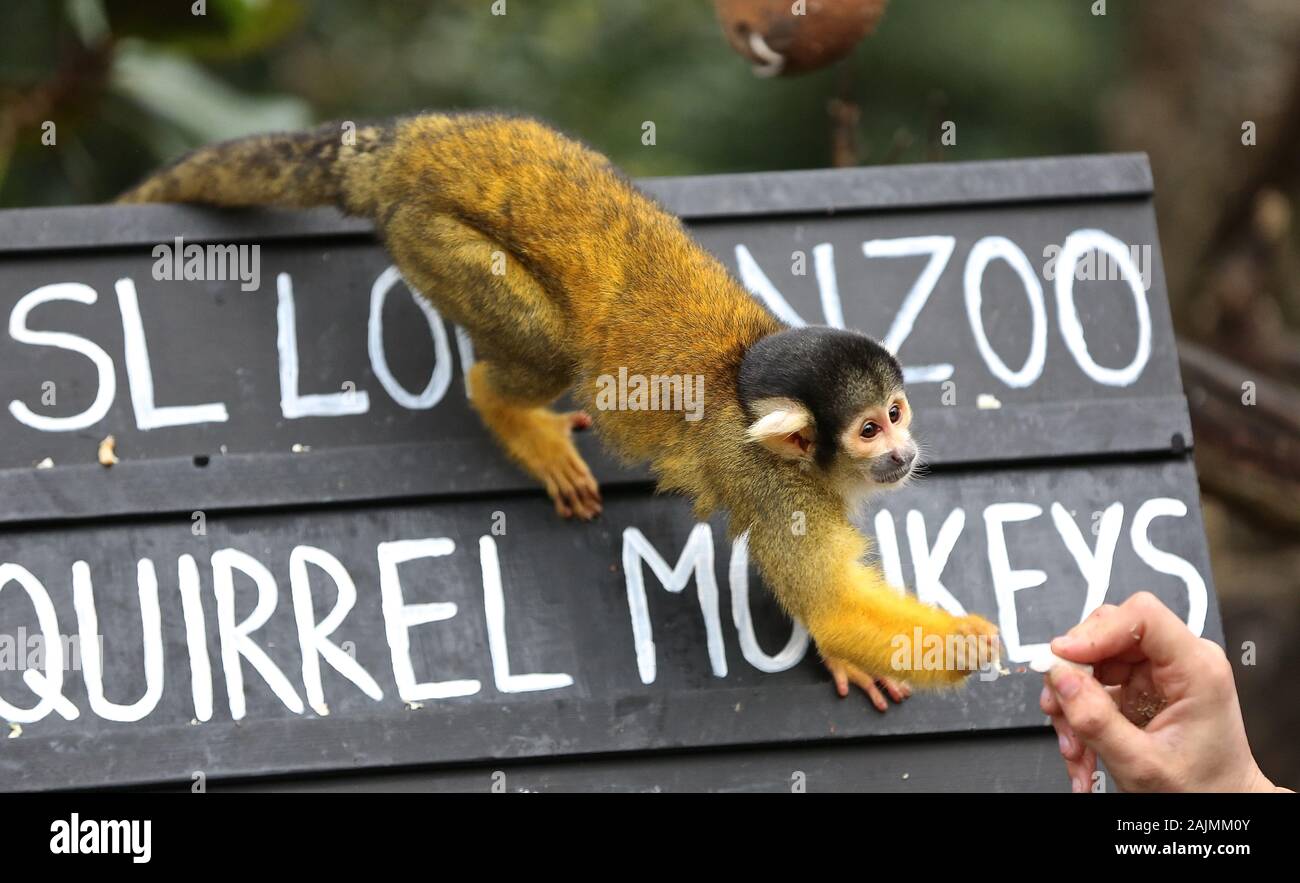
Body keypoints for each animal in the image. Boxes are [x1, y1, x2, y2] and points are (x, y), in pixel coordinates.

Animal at [119, 113, 993, 702]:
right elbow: (833, 603)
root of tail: (409, 144)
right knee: (546, 345)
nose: (904, 454)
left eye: (899, 412)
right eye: (869, 428)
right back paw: (508, 412)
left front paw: (847, 655)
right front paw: (961, 647)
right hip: (435, 241)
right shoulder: (776, 486)